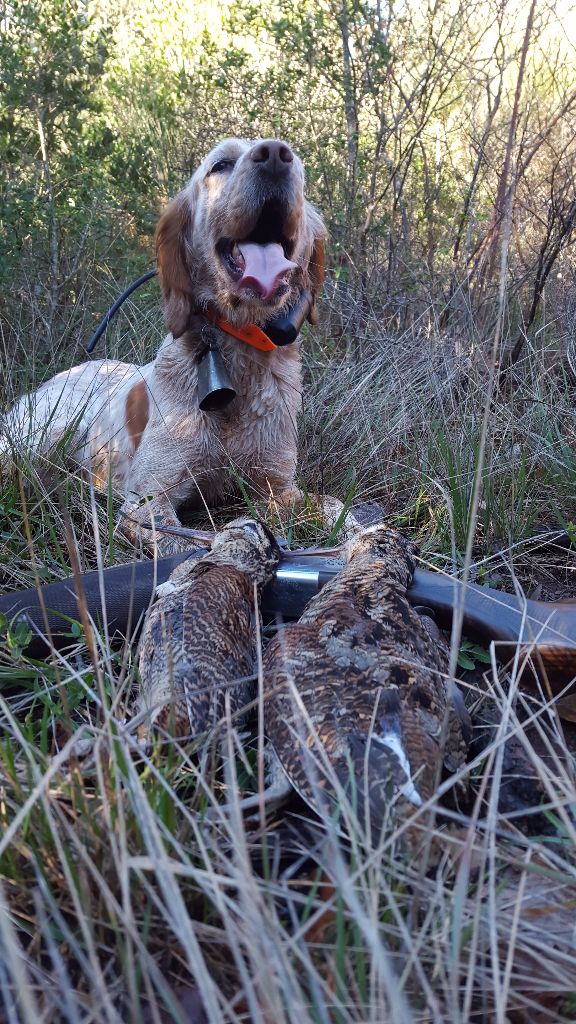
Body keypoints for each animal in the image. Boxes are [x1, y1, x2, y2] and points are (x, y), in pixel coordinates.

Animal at [1, 138, 323, 552]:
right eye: (221, 164)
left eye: (297, 164)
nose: (275, 156)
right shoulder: (147, 501)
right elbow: (187, 547)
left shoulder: (279, 488)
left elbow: (337, 509)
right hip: (43, 434)